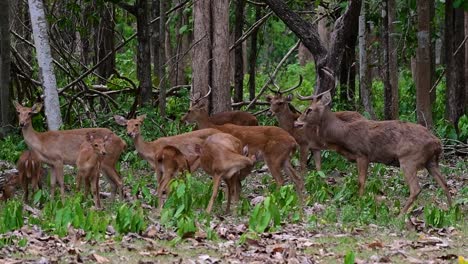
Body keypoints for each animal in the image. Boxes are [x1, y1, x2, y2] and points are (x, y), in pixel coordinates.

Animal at [296, 91, 454, 214]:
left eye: (309, 109)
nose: (297, 122)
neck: (342, 134)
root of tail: (437, 143)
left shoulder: (363, 154)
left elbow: (361, 181)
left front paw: (359, 203)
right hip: (431, 162)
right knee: (445, 183)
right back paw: (452, 210)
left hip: (409, 159)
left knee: (416, 189)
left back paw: (400, 215)